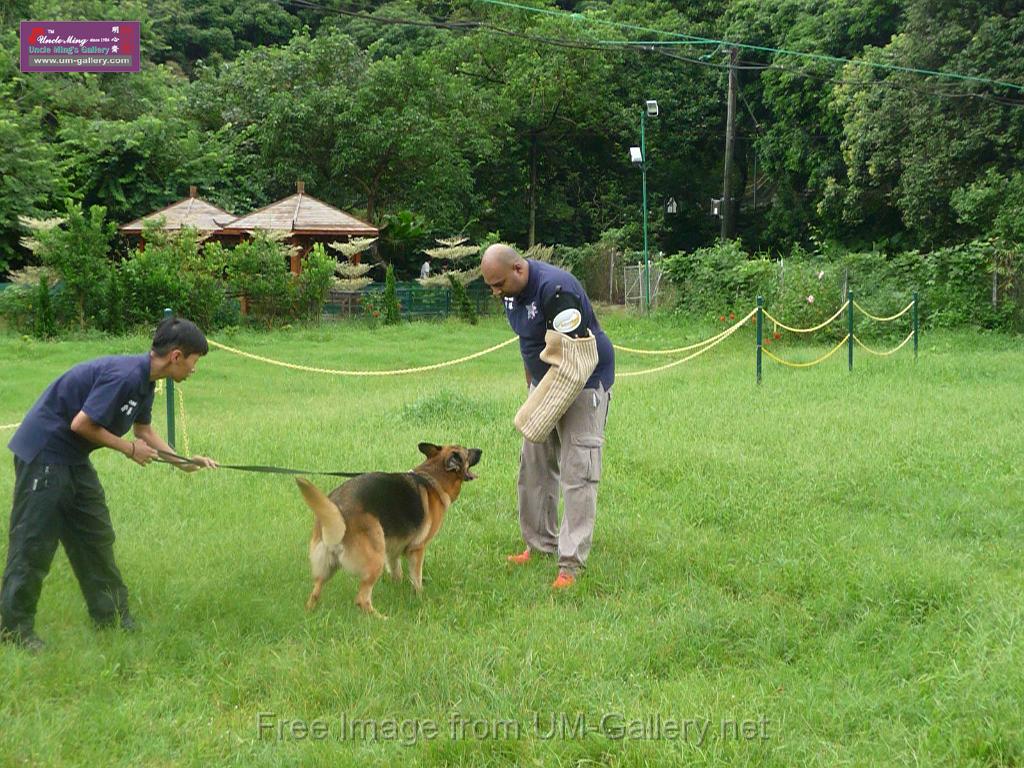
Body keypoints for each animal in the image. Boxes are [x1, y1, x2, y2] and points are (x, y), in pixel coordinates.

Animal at [299, 444, 481, 618]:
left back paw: (309, 612)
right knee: (362, 599)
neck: (433, 478)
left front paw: (397, 590)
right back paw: (382, 618)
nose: (480, 450)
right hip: (375, 561)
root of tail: (338, 509)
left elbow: (397, 572)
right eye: (467, 451)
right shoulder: (417, 549)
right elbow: (416, 578)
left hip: (327, 566)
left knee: (315, 593)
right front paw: (420, 597)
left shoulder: (392, 551)